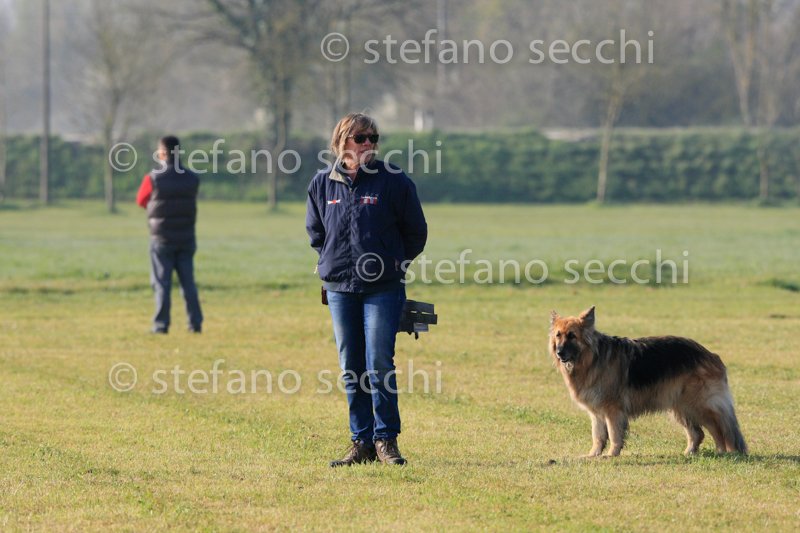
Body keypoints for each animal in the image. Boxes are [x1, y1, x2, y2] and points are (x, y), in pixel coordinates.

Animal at [548, 306, 747, 457]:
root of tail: (711, 355)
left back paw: (722, 452)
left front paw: (611, 455)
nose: (559, 353)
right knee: (697, 433)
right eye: (558, 335)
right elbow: (598, 436)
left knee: (718, 429)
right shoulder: (597, 413)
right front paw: (593, 455)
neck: (592, 358)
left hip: (698, 406)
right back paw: (689, 453)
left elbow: (614, 434)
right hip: (680, 407)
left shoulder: (613, 411)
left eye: (572, 336)